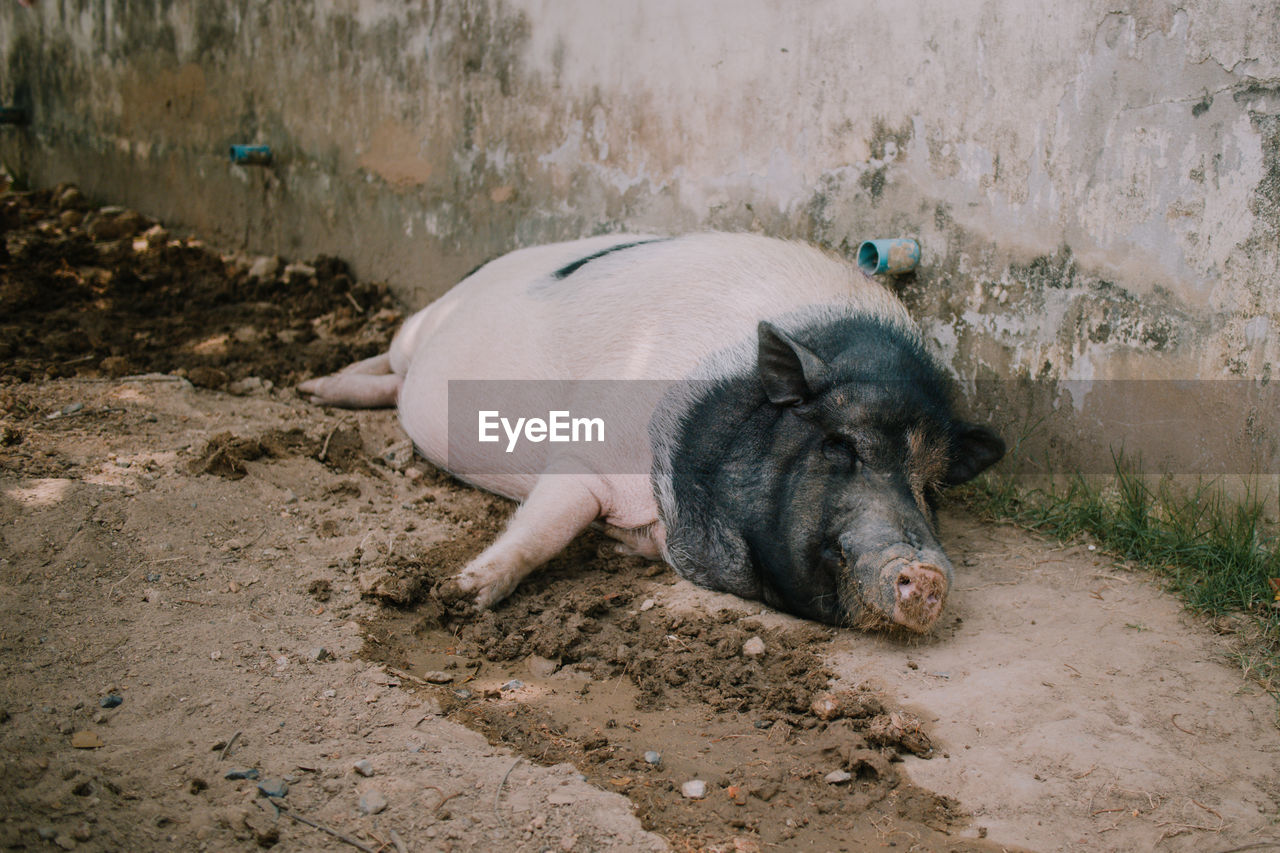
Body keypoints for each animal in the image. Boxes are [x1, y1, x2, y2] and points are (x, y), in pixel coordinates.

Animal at [299, 233, 998, 630]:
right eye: (840, 444)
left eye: (933, 485)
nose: (927, 573)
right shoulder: (588, 455)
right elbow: (548, 525)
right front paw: (464, 594)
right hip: (419, 325)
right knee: (388, 364)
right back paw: (312, 390)